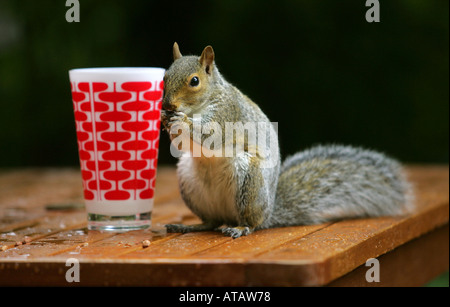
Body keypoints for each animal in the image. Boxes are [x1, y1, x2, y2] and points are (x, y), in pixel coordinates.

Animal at [160, 43, 414, 239]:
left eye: (194, 81)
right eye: (165, 77)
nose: (168, 105)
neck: (199, 106)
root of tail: (269, 211)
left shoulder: (228, 113)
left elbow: (211, 136)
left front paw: (182, 121)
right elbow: (183, 145)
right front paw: (165, 119)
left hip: (248, 180)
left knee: (250, 222)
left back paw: (240, 228)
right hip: (190, 181)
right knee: (212, 221)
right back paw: (190, 226)